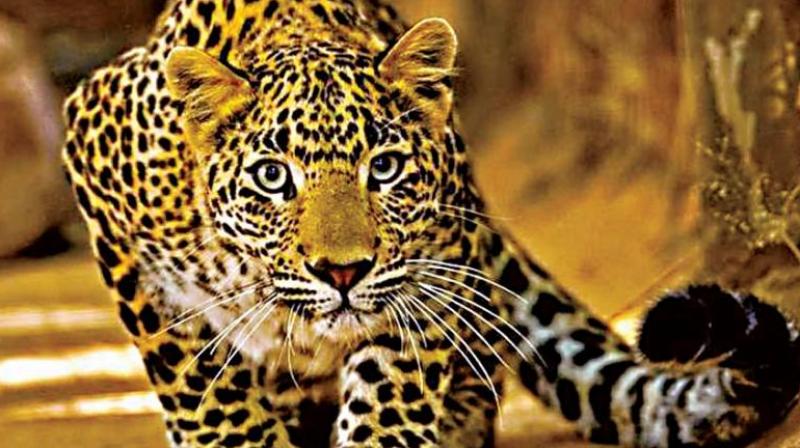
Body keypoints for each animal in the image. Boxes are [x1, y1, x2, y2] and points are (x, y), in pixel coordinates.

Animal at [61, 0, 800, 446]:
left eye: (384, 168)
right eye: (272, 177)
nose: (342, 274)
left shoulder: (429, 275)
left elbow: (391, 390)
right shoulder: (101, 178)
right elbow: (197, 381)